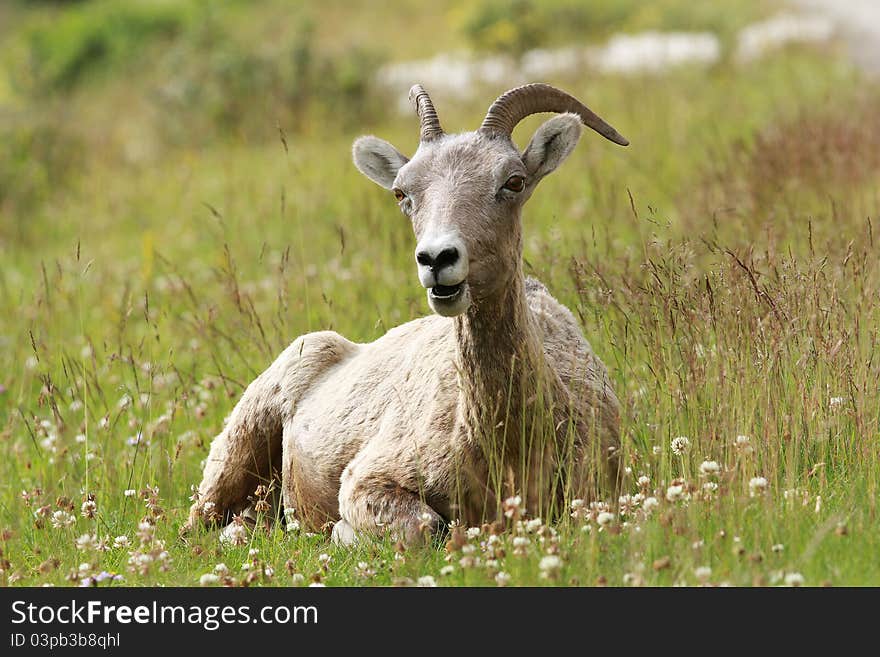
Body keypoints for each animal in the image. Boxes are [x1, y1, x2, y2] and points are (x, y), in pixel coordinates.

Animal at [186, 82, 624, 544]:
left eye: (514, 181)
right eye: (402, 193)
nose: (436, 258)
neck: (511, 453)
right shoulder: (367, 480)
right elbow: (424, 527)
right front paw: (342, 534)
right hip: (235, 453)